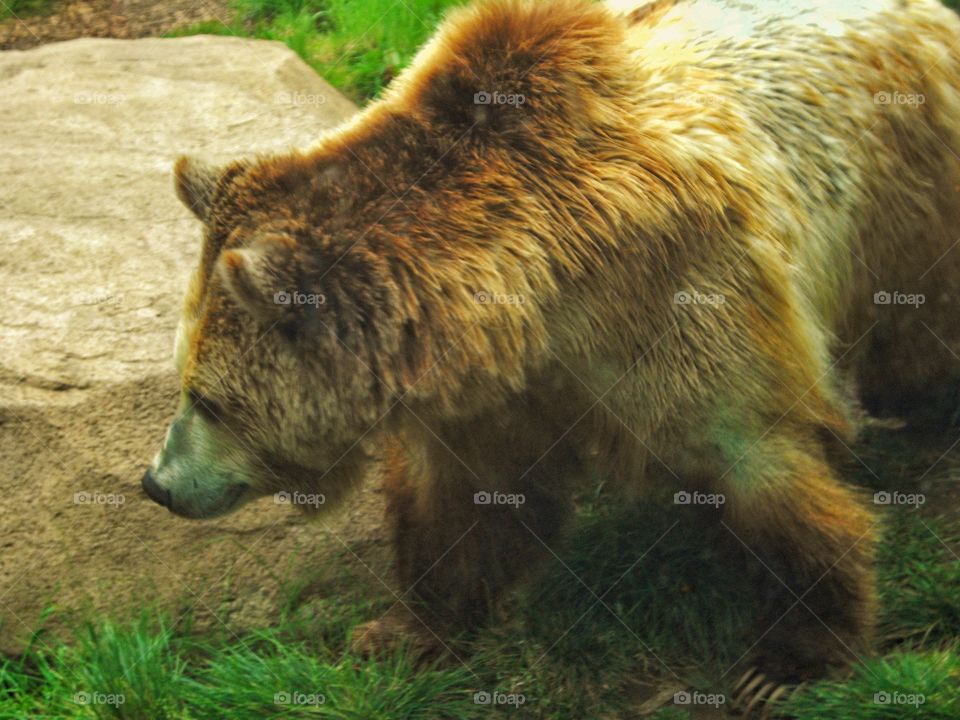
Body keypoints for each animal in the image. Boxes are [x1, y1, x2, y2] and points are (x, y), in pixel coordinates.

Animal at [142, 0, 960, 683]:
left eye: (207, 399)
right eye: (183, 378)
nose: (158, 483)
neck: (532, 305)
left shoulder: (676, 307)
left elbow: (759, 469)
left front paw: (790, 656)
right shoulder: (490, 394)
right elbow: (460, 508)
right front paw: (402, 631)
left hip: (904, 197)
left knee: (922, 335)